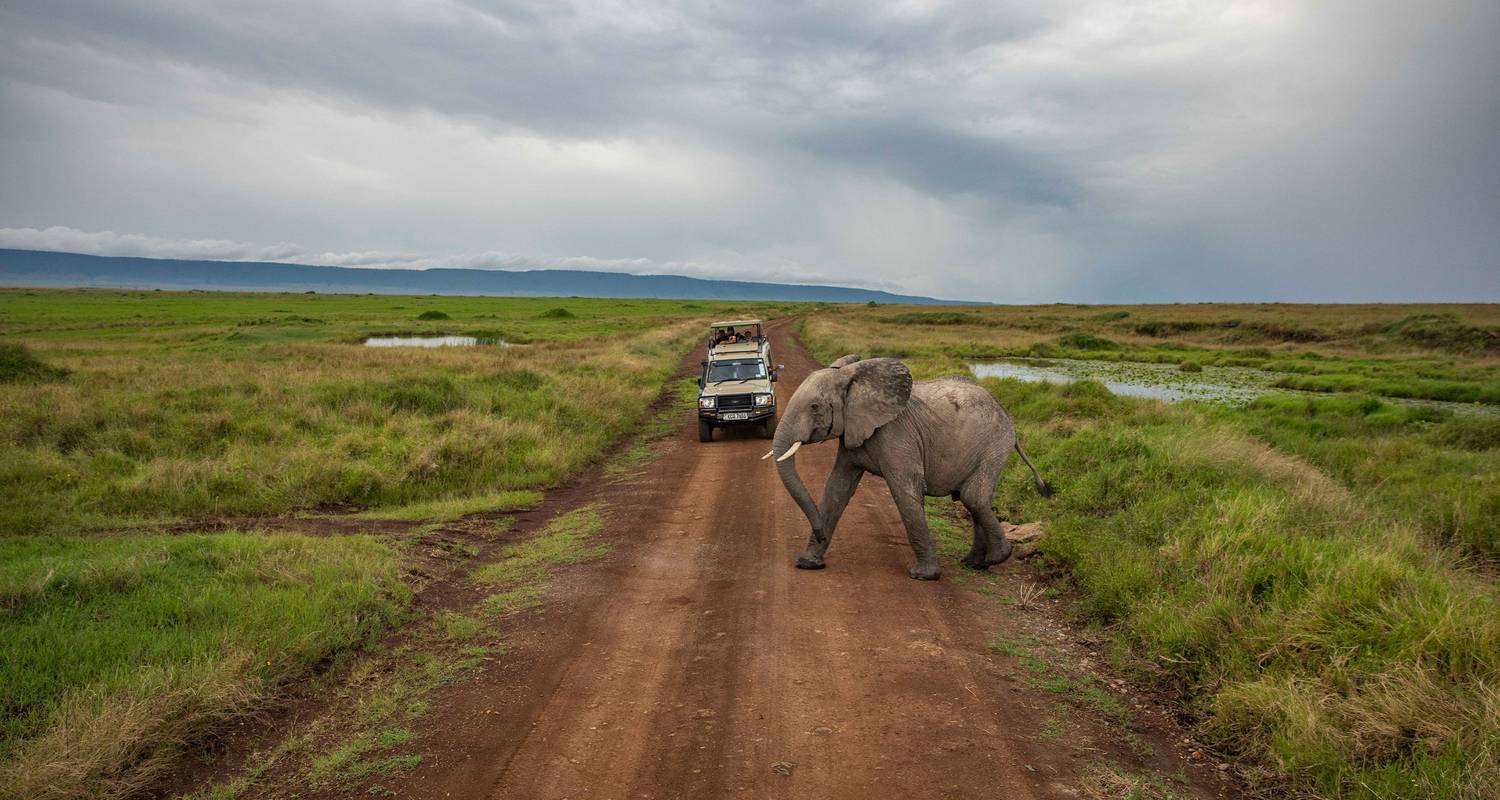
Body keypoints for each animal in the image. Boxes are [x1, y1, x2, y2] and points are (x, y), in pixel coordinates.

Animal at [768, 355, 1050, 579]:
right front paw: (807, 564)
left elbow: (905, 490)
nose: (821, 535)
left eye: (814, 406)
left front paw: (925, 576)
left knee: (974, 497)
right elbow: (837, 489)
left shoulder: (896, 434)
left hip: (994, 445)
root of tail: (1007, 415)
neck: (854, 379)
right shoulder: (853, 434)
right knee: (974, 499)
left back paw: (997, 557)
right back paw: (974, 564)